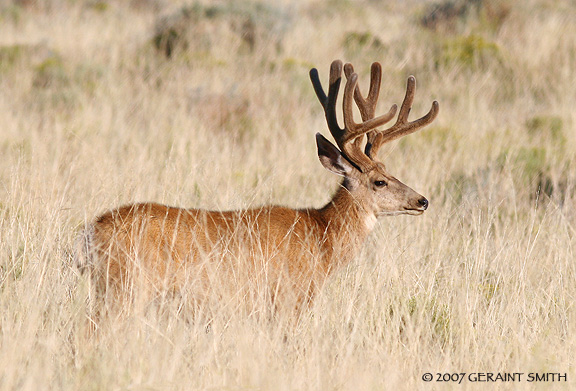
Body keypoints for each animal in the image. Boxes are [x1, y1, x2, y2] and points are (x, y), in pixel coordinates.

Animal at [75, 60, 436, 318]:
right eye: (379, 181)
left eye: (390, 171)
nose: (422, 200)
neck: (322, 240)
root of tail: (92, 231)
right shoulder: (288, 299)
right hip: (125, 286)